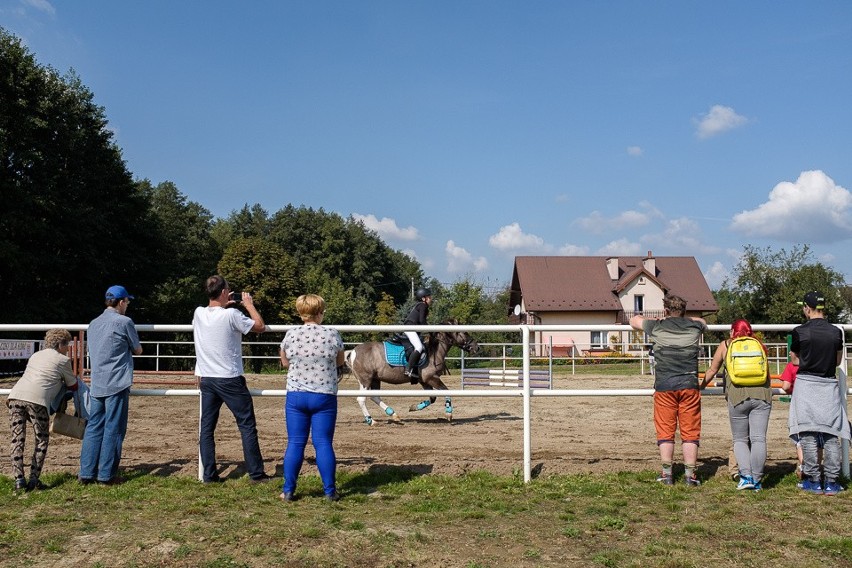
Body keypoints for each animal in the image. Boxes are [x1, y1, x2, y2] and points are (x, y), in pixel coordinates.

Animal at [346, 318, 480, 424]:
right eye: (464, 332)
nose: (477, 347)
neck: (433, 350)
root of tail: (353, 351)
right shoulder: (431, 378)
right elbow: (446, 391)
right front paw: (449, 413)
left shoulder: (424, 381)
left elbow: (433, 398)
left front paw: (414, 407)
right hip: (365, 380)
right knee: (361, 399)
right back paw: (371, 421)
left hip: (375, 379)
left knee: (375, 397)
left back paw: (393, 414)